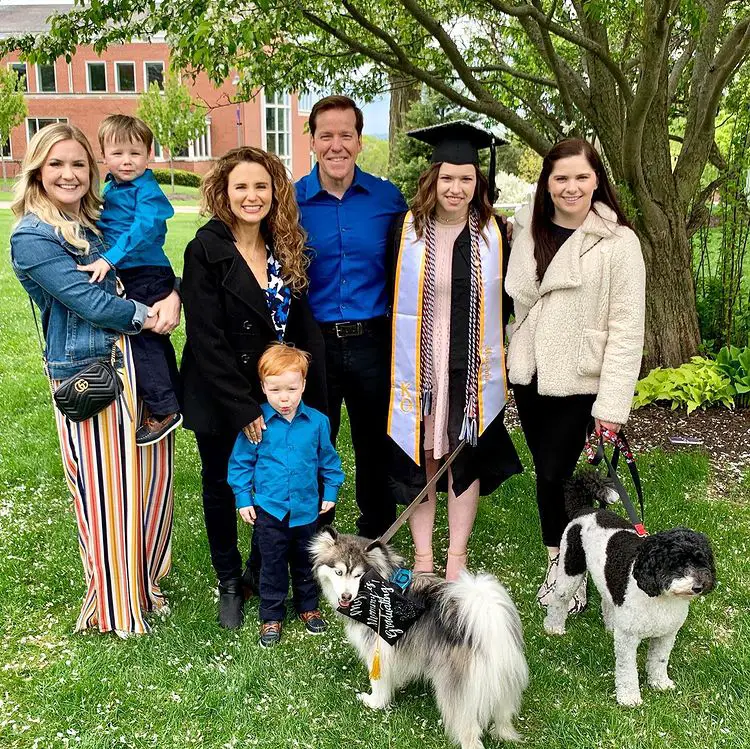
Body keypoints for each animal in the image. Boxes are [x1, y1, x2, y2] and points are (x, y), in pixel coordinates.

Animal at [310, 524, 528, 748]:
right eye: (338, 572)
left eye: (358, 576)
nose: (346, 596)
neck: (379, 587)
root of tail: (488, 627)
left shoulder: (379, 651)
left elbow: (378, 683)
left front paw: (374, 702)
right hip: (503, 688)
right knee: (503, 719)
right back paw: (502, 733)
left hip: (460, 699)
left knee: (470, 734)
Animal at [548, 470, 716, 704]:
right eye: (677, 563)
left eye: (703, 562)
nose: (699, 586)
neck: (660, 598)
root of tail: (586, 510)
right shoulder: (628, 639)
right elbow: (627, 670)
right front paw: (629, 698)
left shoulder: (666, 635)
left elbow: (659, 661)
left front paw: (660, 683)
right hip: (570, 569)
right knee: (559, 599)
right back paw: (553, 627)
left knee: (607, 601)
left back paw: (610, 627)